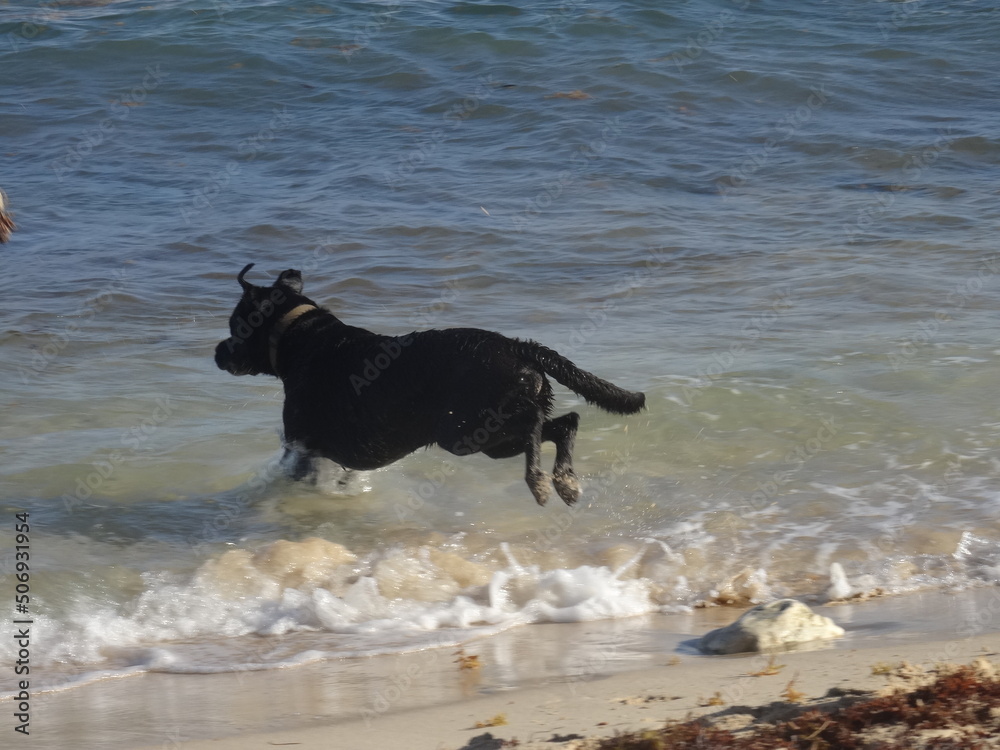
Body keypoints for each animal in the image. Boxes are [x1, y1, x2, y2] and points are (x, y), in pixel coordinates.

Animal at [215, 264, 644, 506]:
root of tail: (518, 346)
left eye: (236, 324)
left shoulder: (302, 446)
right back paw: (565, 481)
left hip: (467, 432)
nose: (218, 352)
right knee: (564, 423)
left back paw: (539, 481)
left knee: (536, 427)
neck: (298, 334)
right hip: (489, 434)